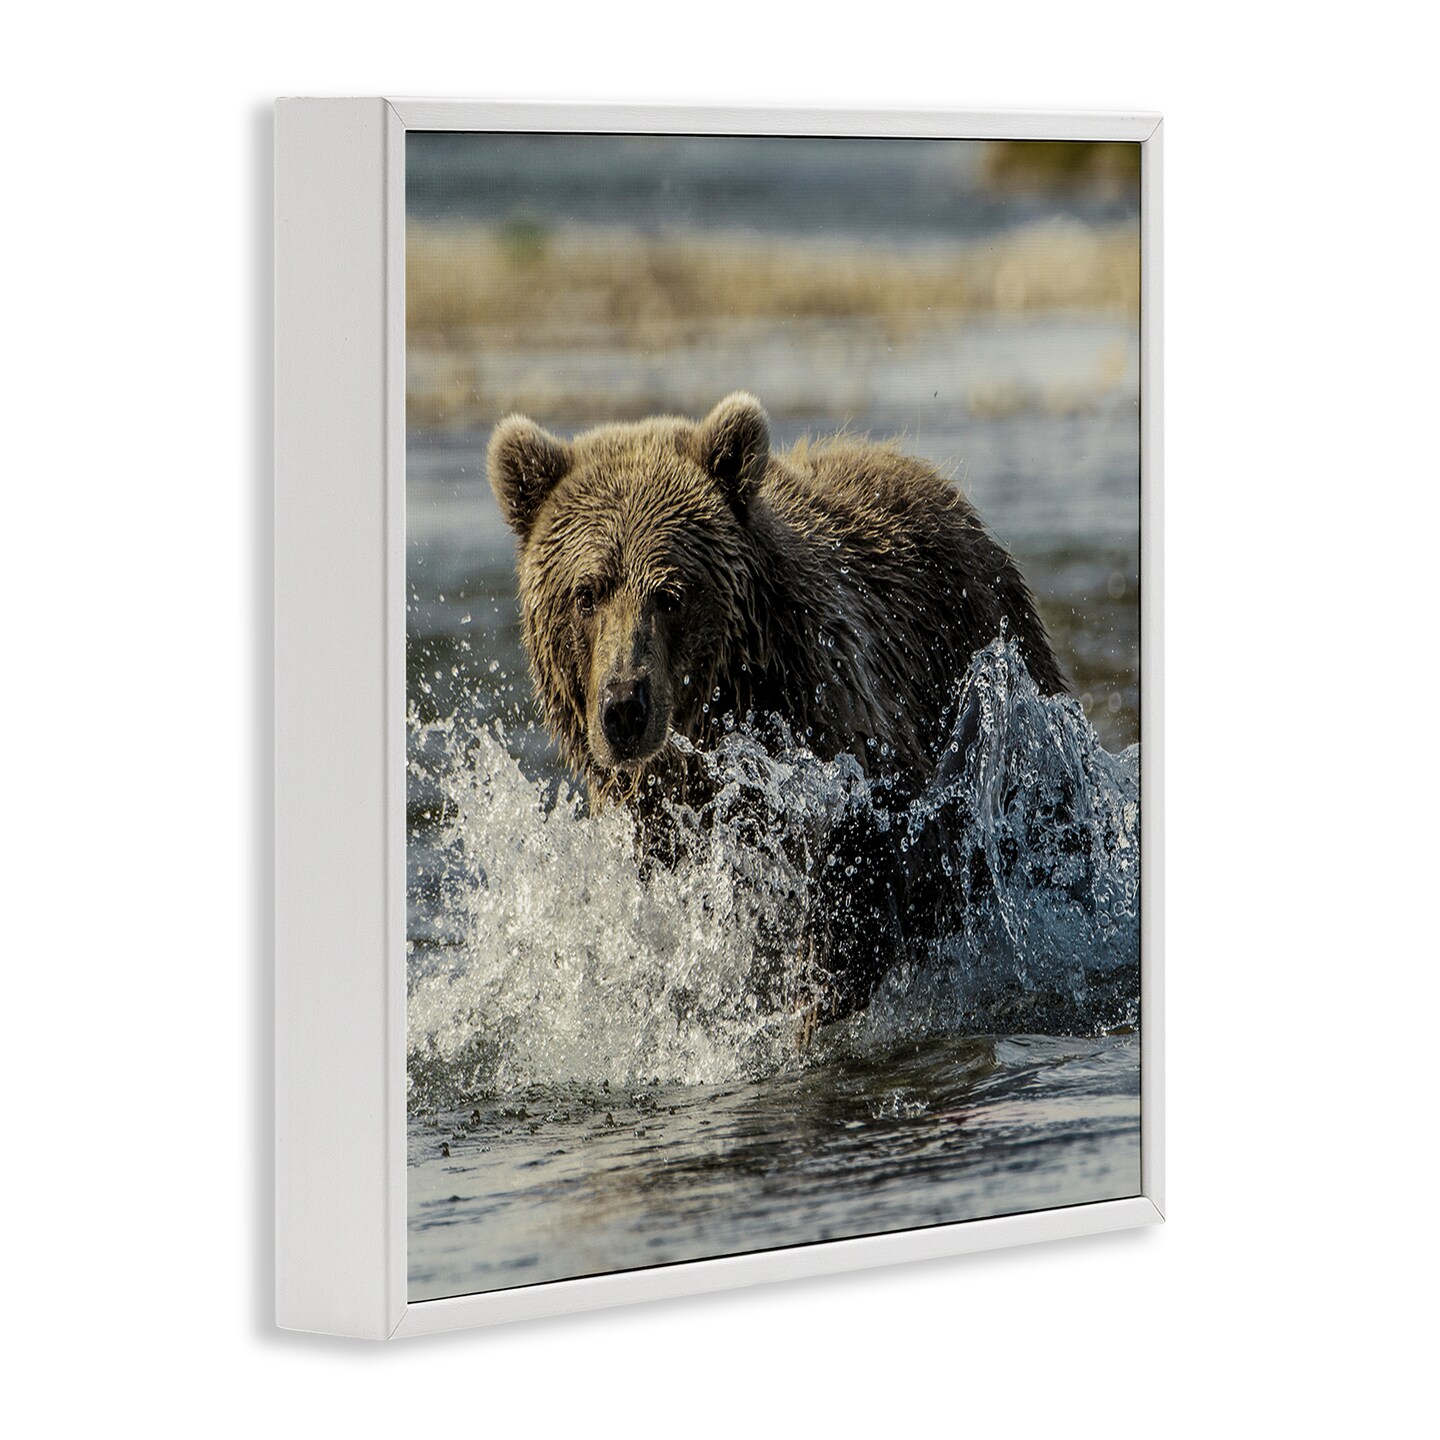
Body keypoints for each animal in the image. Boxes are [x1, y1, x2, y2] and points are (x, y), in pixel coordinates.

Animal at [487, 392, 1067, 1023]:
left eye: (670, 594)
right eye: (586, 593)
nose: (623, 708)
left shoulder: (830, 722)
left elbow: (868, 863)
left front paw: (815, 997)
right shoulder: (654, 823)